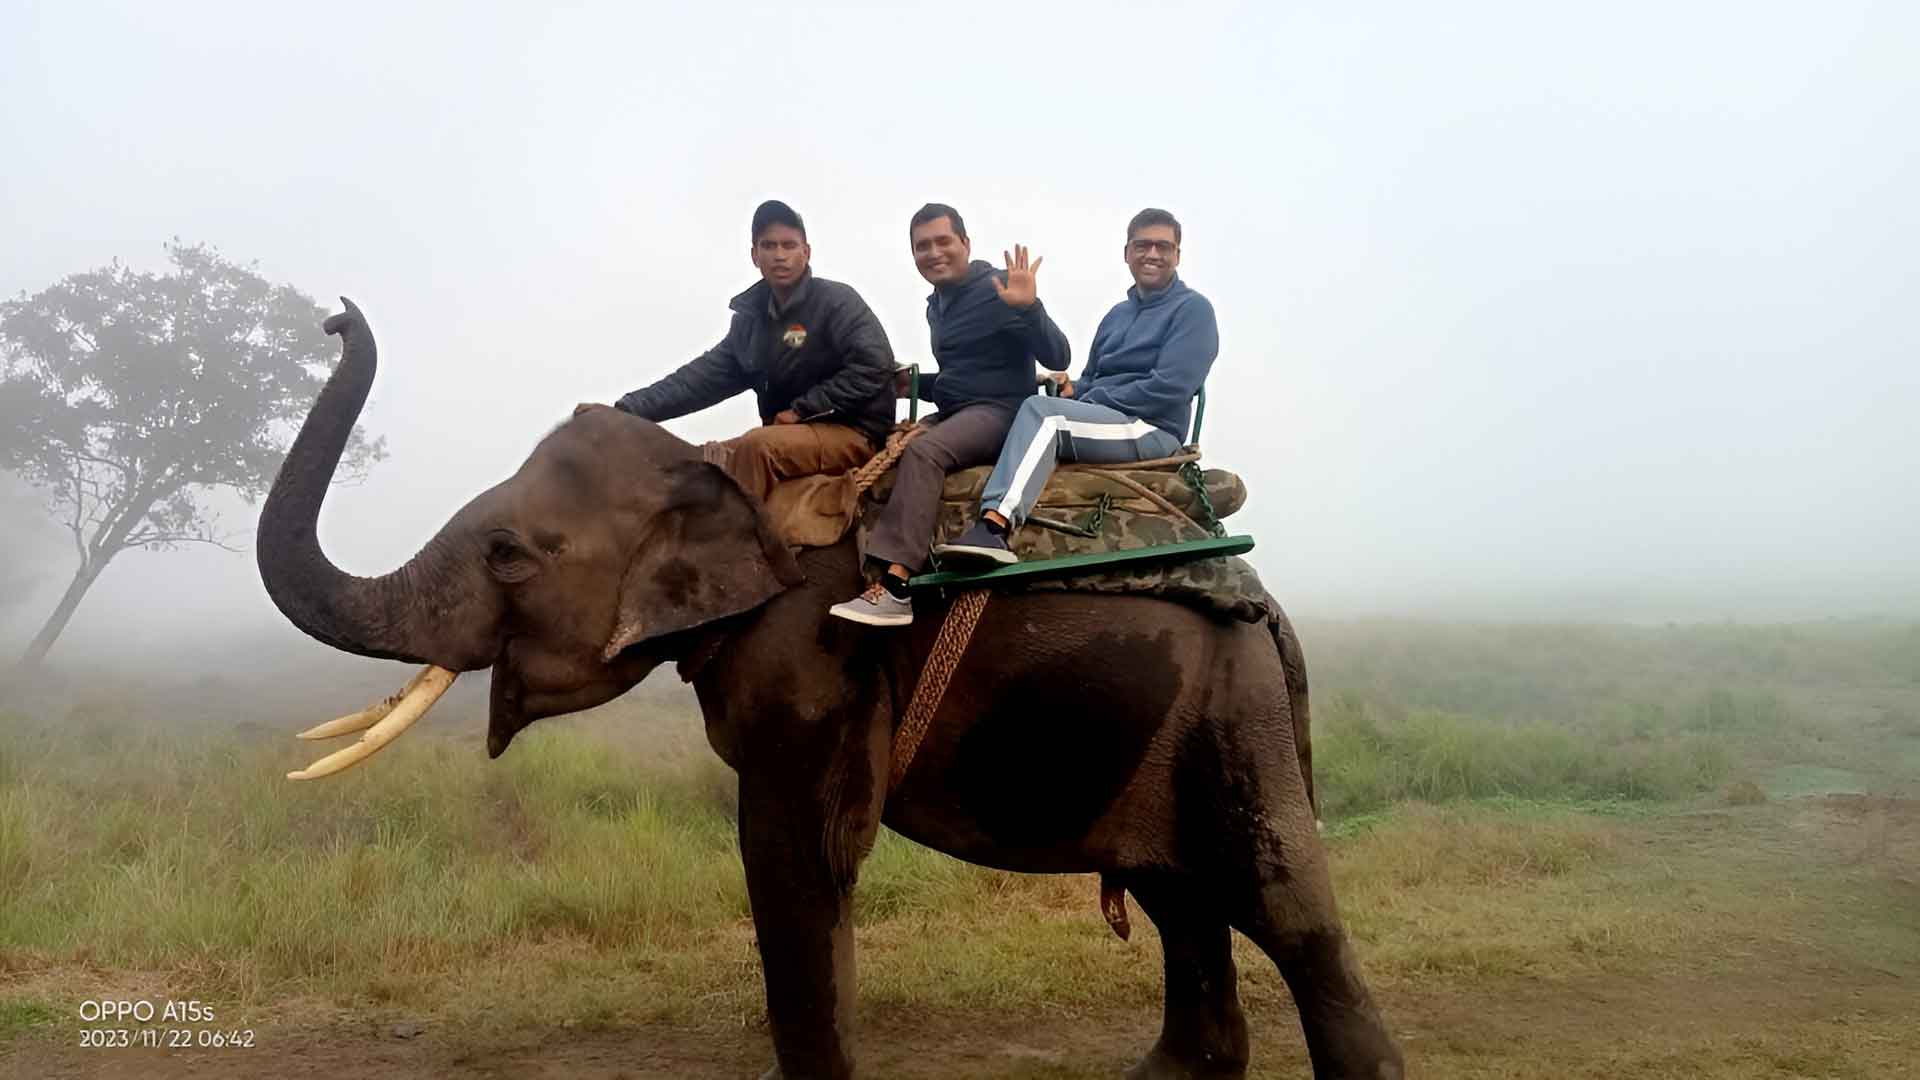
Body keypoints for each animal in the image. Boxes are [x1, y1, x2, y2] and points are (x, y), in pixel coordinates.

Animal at [255, 295, 1405, 1076]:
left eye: (505, 555)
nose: (332, 315)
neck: (720, 475)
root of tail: (1266, 601)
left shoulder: (813, 653)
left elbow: (796, 855)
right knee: (1180, 895)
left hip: (1231, 712)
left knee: (1280, 904)